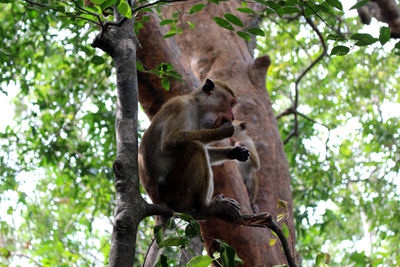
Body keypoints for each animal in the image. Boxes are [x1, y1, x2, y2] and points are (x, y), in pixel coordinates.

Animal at [138, 78, 250, 223]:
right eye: (231, 103)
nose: (232, 117)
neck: (198, 108)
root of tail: (158, 200)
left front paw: (236, 152)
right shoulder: (182, 107)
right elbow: (169, 143)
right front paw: (225, 131)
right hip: (174, 191)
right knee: (196, 147)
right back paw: (206, 207)